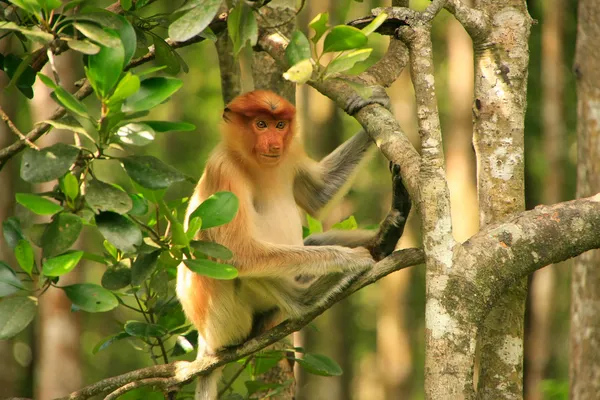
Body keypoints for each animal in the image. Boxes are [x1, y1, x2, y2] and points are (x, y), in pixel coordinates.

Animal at [177, 89, 412, 398]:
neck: (254, 163)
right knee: (241, 266)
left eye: (280, 125)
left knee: (312, 241)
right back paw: (309, 297)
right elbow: (237, 254)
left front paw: (374, 101)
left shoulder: (289, 157)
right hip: (225, 322)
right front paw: (349, 259)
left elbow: (319, 195)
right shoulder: (222, 170)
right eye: (260, 124)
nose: (274, 144)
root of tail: (205, 343)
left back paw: (385, 237)